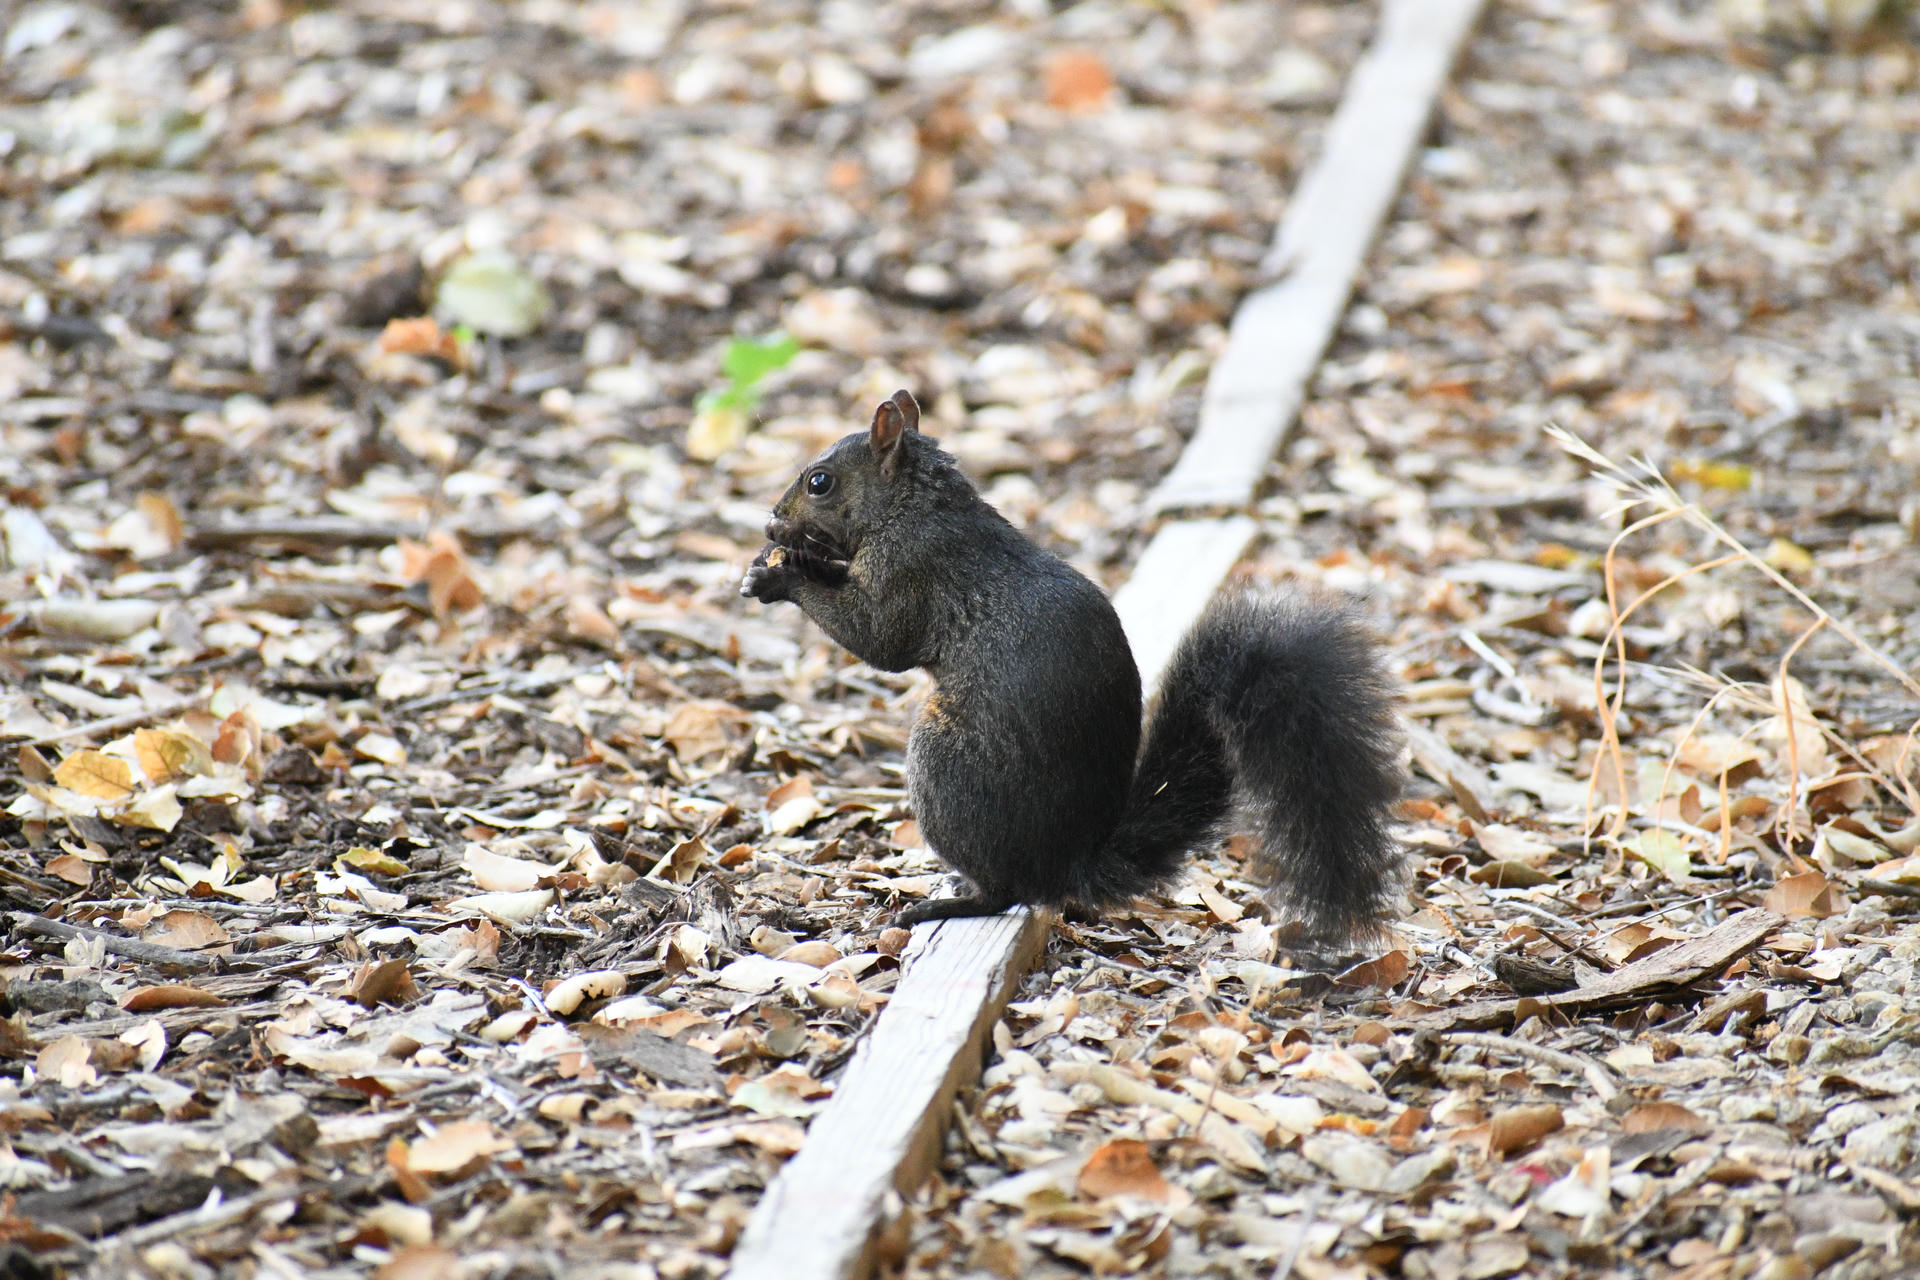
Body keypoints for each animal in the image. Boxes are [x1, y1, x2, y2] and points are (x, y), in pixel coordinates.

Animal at [740, 390, 1406, 949]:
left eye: (819, 482)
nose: (771, 522)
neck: (912, 508)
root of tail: (1067, 865)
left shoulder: (912, 573)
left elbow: (880, 639)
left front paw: (783, 575)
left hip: (946, 766)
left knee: (1007, 892)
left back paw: (949, 903)